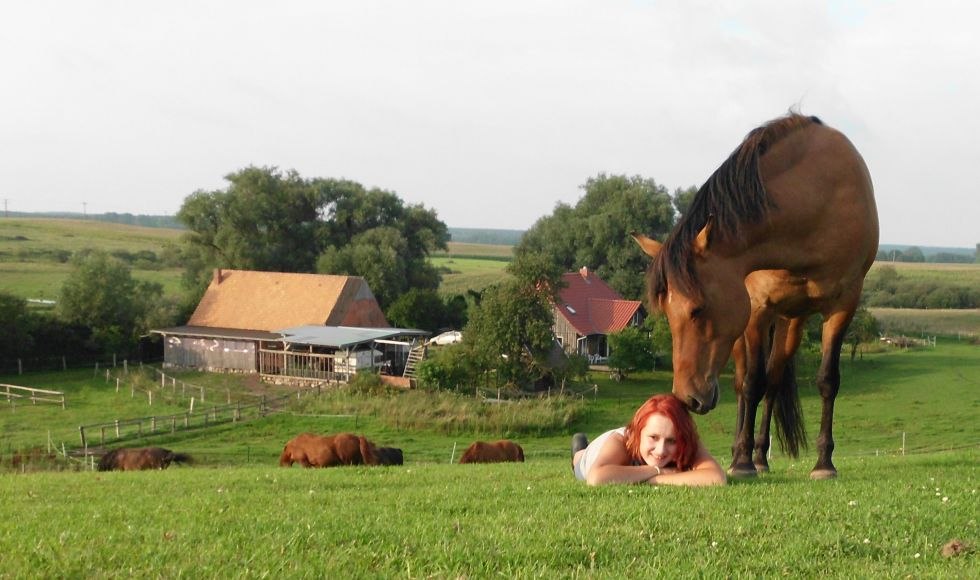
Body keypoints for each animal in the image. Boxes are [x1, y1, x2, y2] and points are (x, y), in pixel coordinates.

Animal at [636, 113, 880, 480]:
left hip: (792, 321)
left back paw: (762, 456)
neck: (814, 202)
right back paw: (744, 452)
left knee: (775, 380)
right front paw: (741, 462)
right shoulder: (756, 311)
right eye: (666, 312)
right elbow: (751, 383)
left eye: (698, 309)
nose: (687, 399)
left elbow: (827, 380)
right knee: (744, 384)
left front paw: (824, 463)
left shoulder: (843, 305)